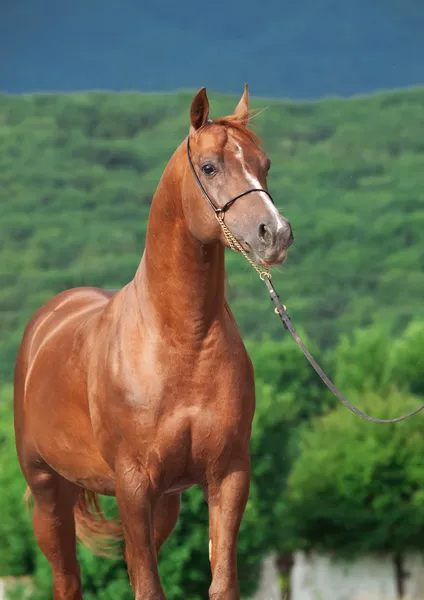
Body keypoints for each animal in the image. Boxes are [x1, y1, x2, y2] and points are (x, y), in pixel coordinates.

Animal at [13, 85, 292, 600]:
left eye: (264, 164)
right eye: (210, 167)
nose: (276, 234)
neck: (181, 341)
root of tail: (48, 320)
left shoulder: (227, 475)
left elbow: (220, 582)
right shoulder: (132, 484)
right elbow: (147, 586)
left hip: (164, 503)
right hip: (48, 492)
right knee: (67, 578)